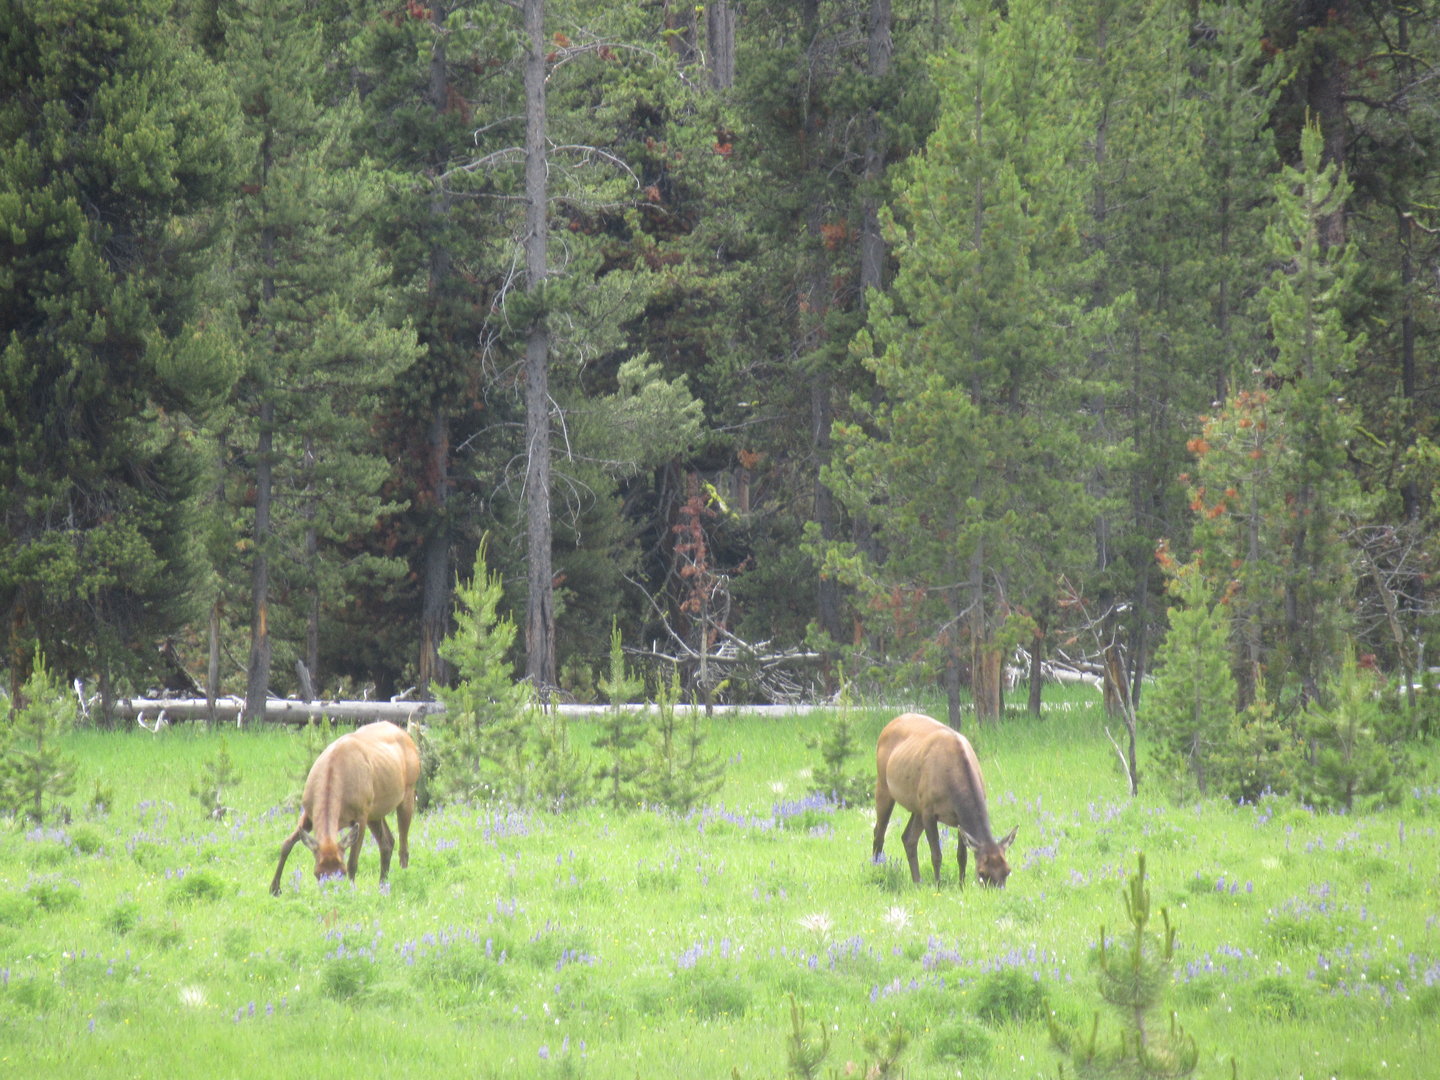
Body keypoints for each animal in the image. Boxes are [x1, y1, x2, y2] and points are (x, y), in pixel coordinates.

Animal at [269, 721, 420, 896]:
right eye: (317, 873)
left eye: (341, 872)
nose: (330, 891)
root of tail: (406, 735)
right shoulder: (308, 812)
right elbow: (286, 844)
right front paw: (274, 888)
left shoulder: (360, 815)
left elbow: (353, 861)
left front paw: (351, 892)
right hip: (375, 811)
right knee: (387, 842)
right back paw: (382, 885)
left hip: (407, 792)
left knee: (403, 847)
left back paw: (403, 878)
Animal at [873, 712, 1017, 887]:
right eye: (982, 872)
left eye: (1007, 870)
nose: (997, 890)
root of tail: (887, 726)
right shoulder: (929, 811)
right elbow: (936, 855)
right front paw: (938, 885)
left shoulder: (958, 818)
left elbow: (962, 856)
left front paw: (962, 886)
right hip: (883, 786)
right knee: (878, 833)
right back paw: (876, 870)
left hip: (917, 806)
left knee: (908, 838)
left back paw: (917, 882)